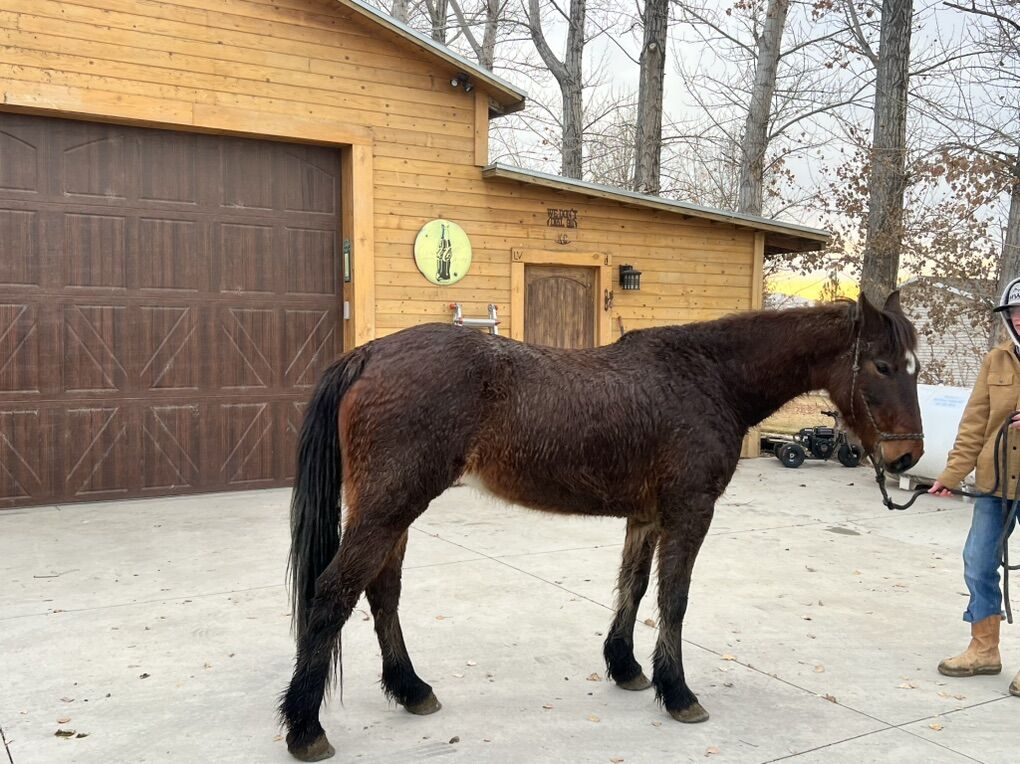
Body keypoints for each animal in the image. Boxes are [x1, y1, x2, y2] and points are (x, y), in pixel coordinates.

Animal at [278, 292, 924, 761]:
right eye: (883, 365)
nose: (908, 457)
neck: (708, 377)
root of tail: (369, 354)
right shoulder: (690, 511)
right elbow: (673, 599)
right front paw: (678, 692)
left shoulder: (647, 516)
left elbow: (633, 589)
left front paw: (627, 667)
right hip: (389, 507)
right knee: (334, 594)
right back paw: (306, 727)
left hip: (393, 511)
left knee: (382, 593)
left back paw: (411, 689)